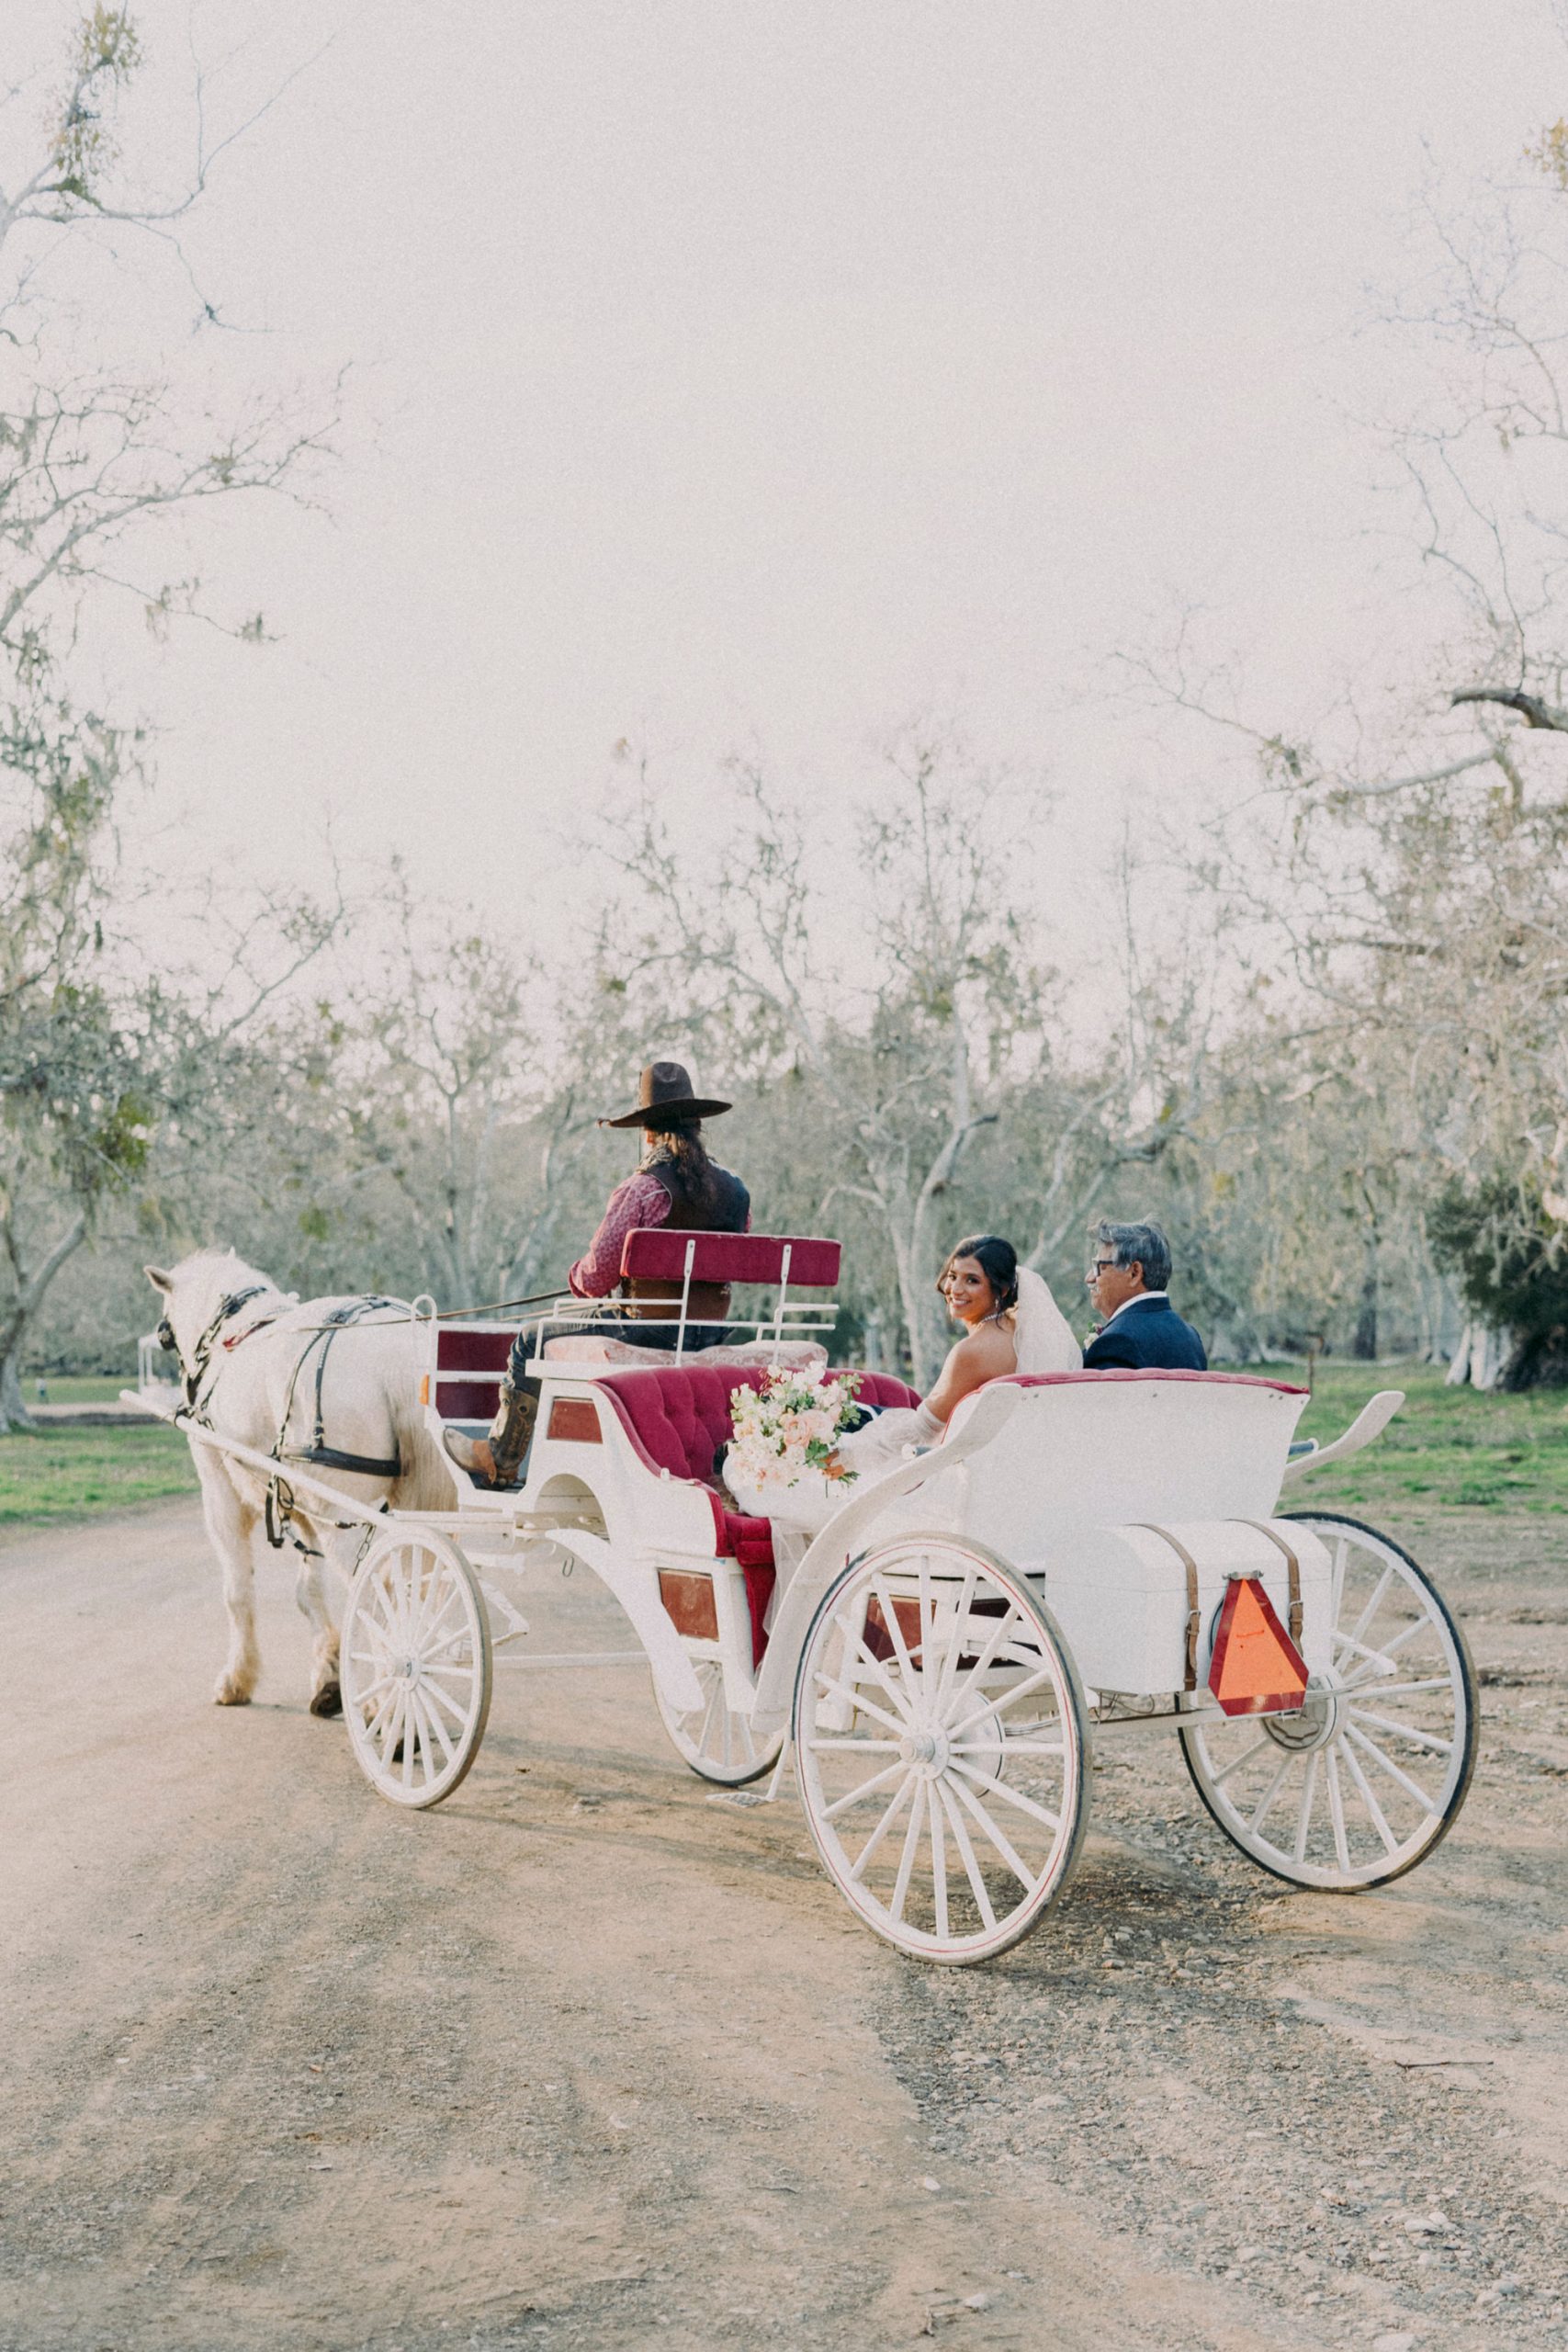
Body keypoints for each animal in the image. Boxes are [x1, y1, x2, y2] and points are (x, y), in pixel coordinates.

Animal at [145, 1250, 451, 1715]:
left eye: (165, 1332)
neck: (233, 1335)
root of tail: (398, 1347)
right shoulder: (297, 1499)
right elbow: (309, 1591)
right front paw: (327, 1673)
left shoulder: (220, 1492)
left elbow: (237, 1591)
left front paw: (237, 1678)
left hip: (341, 1512)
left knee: (380, 1588)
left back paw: (389, 1697)